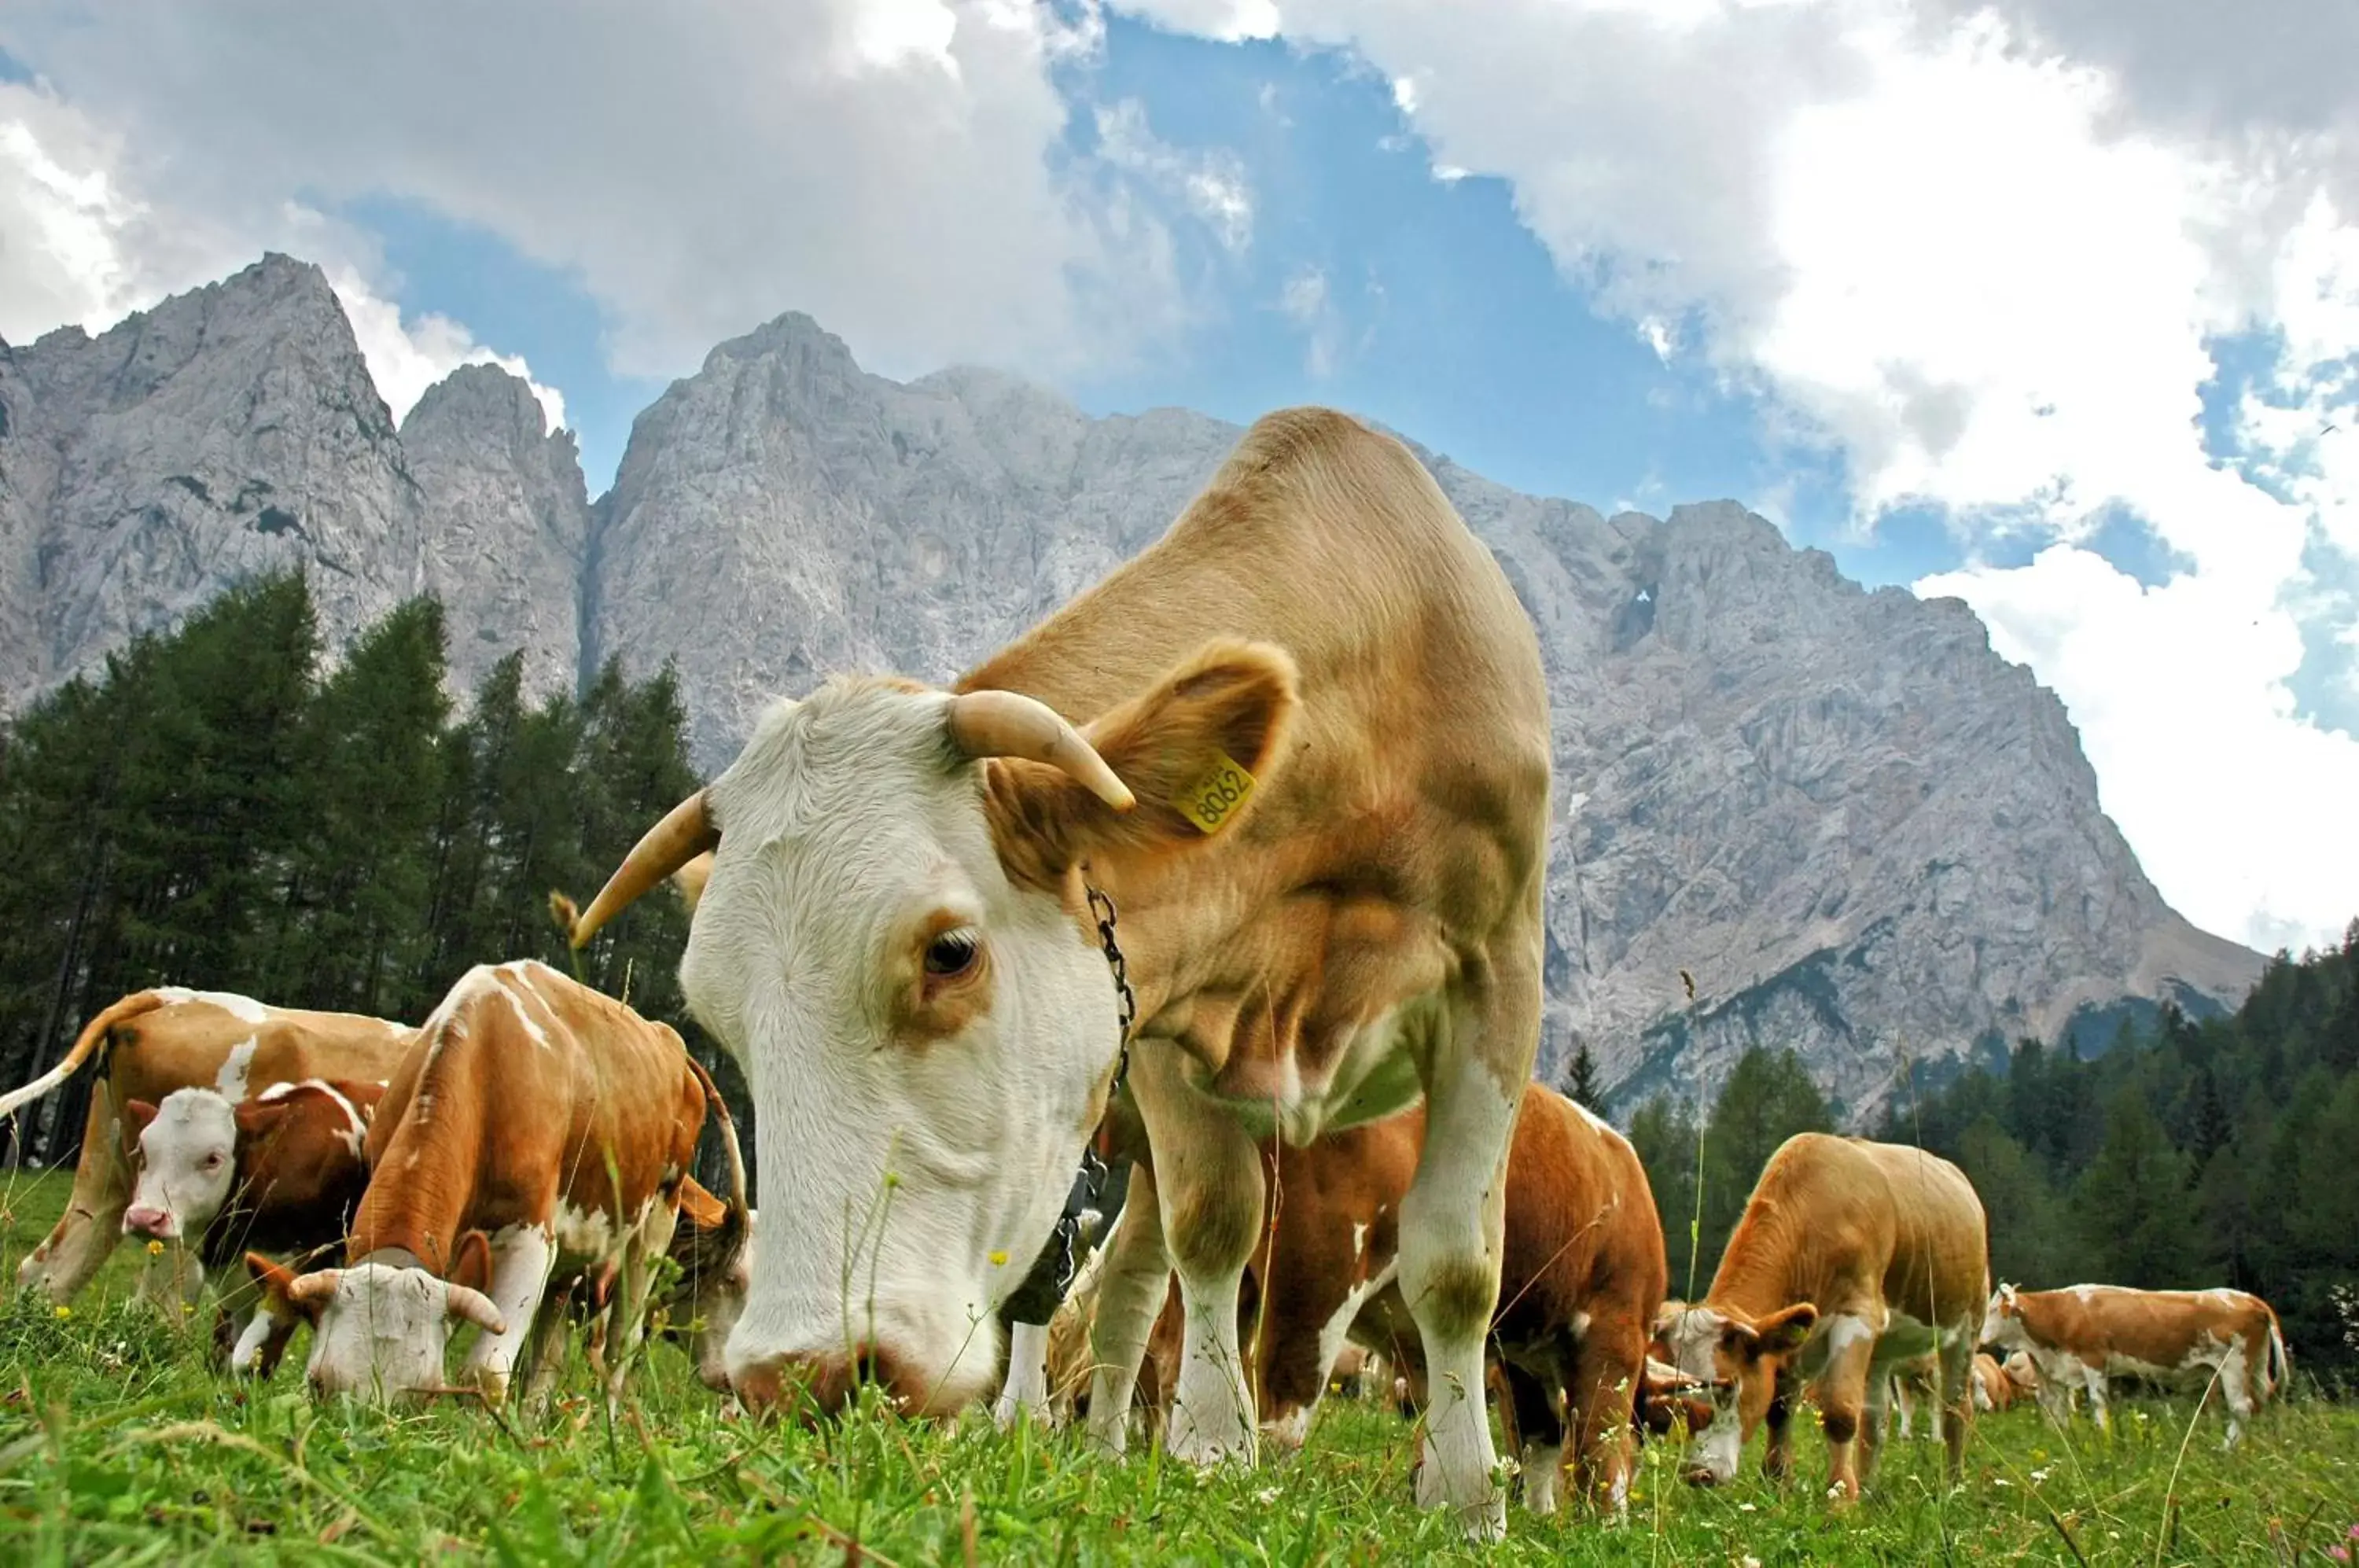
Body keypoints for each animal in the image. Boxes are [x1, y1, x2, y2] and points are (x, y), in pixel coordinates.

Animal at [259, 962, 741, 1396]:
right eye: (318, 1384)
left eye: (426, 1392)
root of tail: (669, 1041)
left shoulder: (532, 1242)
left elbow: (485, 1373)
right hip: (574, 1255)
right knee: (546, 1360)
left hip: (654, 1229)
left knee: (622, 1345)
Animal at [571, 410, 1557, 1537]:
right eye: (721, 1019)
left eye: (951, 951)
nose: (797, 1374)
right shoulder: (1164, 1017)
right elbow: (1215, 1223)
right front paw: (1213, 1445)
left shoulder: (1500, 977)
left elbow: (1456, 1264)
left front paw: (1467, 1493)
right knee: (1101, 1277)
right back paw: (1050, 1423)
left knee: (1125, 1277)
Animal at [1661, 1132, 1991, 1500]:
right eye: (1680, 1393)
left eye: (1730, 1386)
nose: (1698, 1473)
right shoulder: (1794, 1336)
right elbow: (1779, 1409)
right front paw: (1777, 1485)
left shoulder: (1857, 1316)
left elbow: (1840, 1414)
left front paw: (1840, 1496)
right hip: (1882, 1347)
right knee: (1876, 1417)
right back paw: (1870, 1491)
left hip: (1969, 1322)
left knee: (1955, 1407)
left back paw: (1952, 1487)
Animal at [1972, 1283, 2284, 1443]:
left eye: (1992, 1309)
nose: (1978, 1337)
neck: (2061, 1314)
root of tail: (2252, 1300)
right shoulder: (2058, 1371)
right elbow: (2058, 1410)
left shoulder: (2094, 1359)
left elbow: (2098, 1402)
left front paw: (2103, 1437)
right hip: (2255, 1365)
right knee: (2260, 1402)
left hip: (2234, 1365)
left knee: (2241, 1407)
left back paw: (2227, 1449)